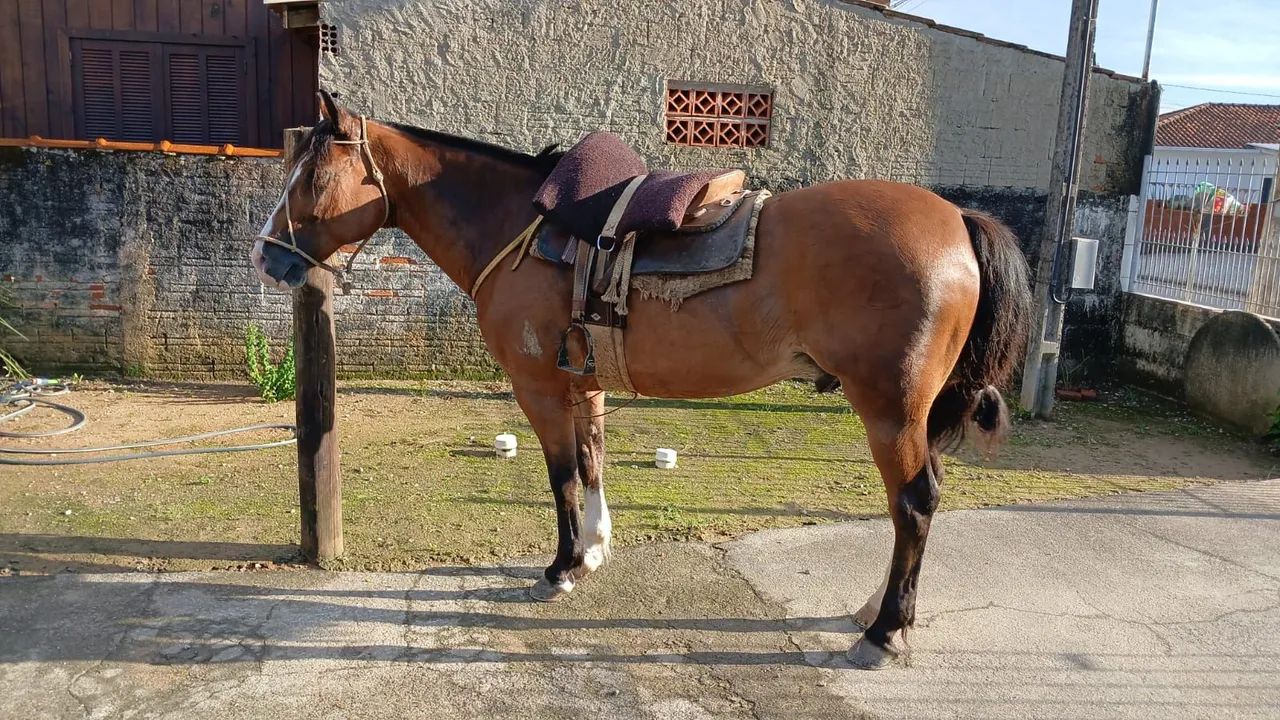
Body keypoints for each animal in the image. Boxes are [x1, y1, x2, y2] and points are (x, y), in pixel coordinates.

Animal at [252, 91, 1032, 669]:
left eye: (312, 176)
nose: (267, 256)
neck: (518, 228)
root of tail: (958, 219)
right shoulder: (583, 382)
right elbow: (594, 463)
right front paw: (595, 550)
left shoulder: (537, 387)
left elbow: (563, 476)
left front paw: (562, 568)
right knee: (920, 501)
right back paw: (877, 609)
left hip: (890, 408)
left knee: (915, 504)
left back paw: (885, 631)